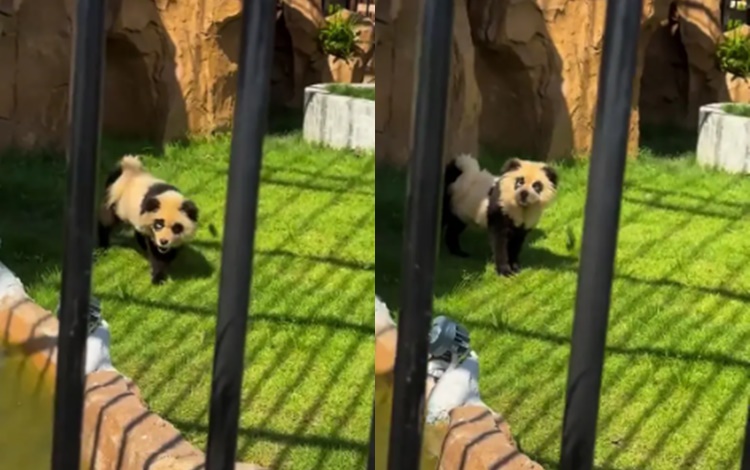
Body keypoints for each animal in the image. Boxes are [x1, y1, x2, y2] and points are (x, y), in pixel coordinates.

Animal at [97, 155, 199, 285]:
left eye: (176, 227)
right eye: (158, 224)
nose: (163, 241)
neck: (168, 196)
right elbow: (156, 254)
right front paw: (158, 278)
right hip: (116, 202)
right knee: (106, 221)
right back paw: (102, 247)